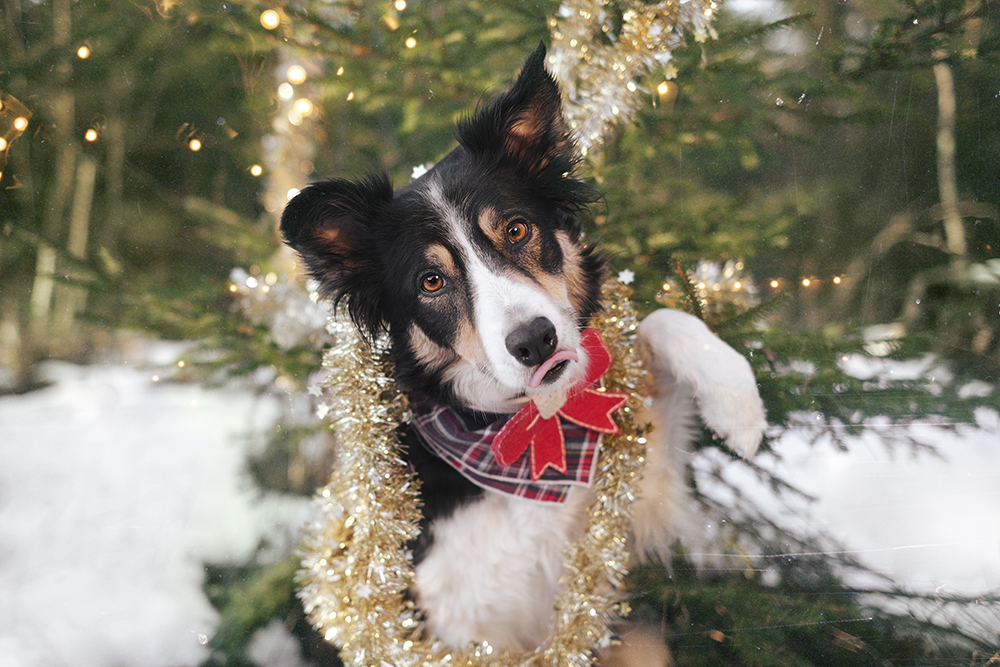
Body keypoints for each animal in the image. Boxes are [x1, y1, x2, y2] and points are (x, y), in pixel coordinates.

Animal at [278, 44, 760, 660]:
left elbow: (661, 320)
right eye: (431, 282)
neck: (524, 435)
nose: (535, 341)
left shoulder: (629, 510)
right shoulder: (460, 630)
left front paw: (738, 405)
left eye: (516, 229)